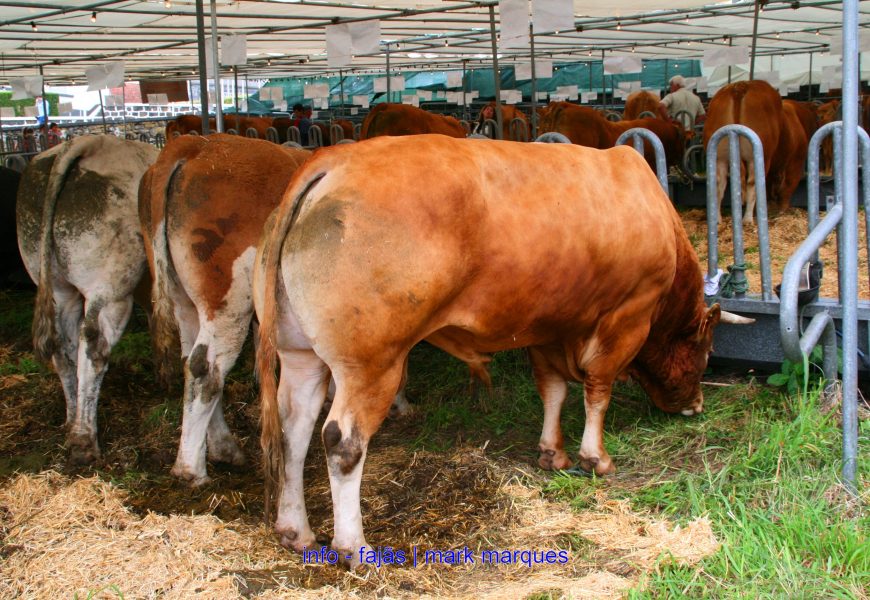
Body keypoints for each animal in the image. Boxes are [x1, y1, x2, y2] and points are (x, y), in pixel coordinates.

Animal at [254, 135, 756, 568]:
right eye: (706, 352)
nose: (697, 404)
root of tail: (332, 162)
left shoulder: (550, 326)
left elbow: (553, 389)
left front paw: (553, 453)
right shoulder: (628, 315)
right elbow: (599, 388)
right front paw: (596, 457)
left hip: (301, 356)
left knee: (294, 432)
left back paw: (296, 530)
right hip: (372, 364)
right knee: (342, 443)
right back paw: (355, 547)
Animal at [700, 79, 812, 225]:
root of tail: (741, 85)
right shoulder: (796, 161)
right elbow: (787, 186)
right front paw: (782, 211)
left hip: (719, 155)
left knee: (719, 184)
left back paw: (718, 219)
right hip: (758, 156)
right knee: (753, 183)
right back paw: (748, 219)